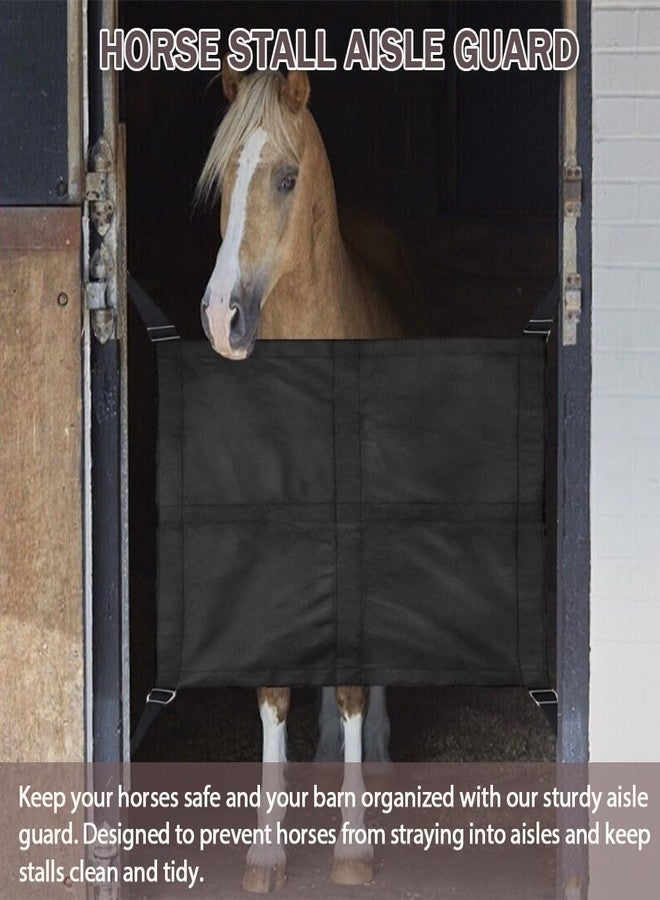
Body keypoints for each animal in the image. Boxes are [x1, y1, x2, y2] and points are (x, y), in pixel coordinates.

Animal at [197, 62, 409, 892]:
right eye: (223, 176)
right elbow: (274, 687)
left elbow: (351, 679)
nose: (222, 318)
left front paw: (353, 845)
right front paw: (267, 849)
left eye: (287, 178)